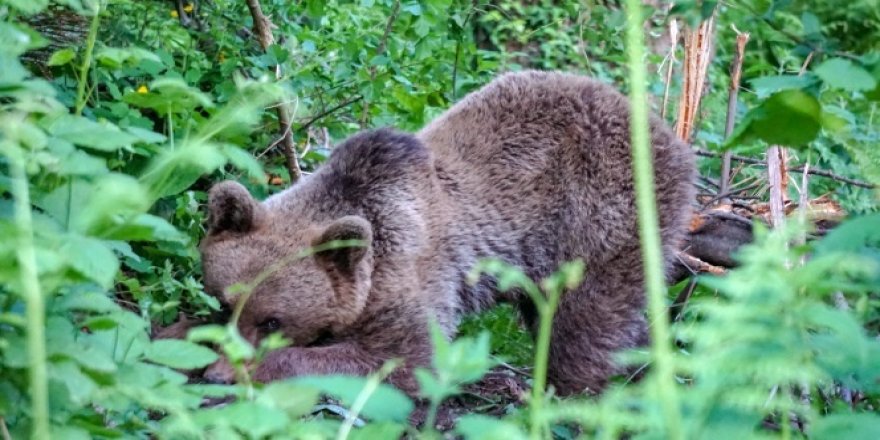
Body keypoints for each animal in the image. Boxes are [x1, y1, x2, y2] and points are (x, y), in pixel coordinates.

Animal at [198, 69, 696, 396]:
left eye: (272, 320)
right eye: (223, 302)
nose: (218, 373)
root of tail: (666, 132)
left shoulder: (410, 274)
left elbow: (404, 359)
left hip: (603, 218)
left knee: (585, 318)